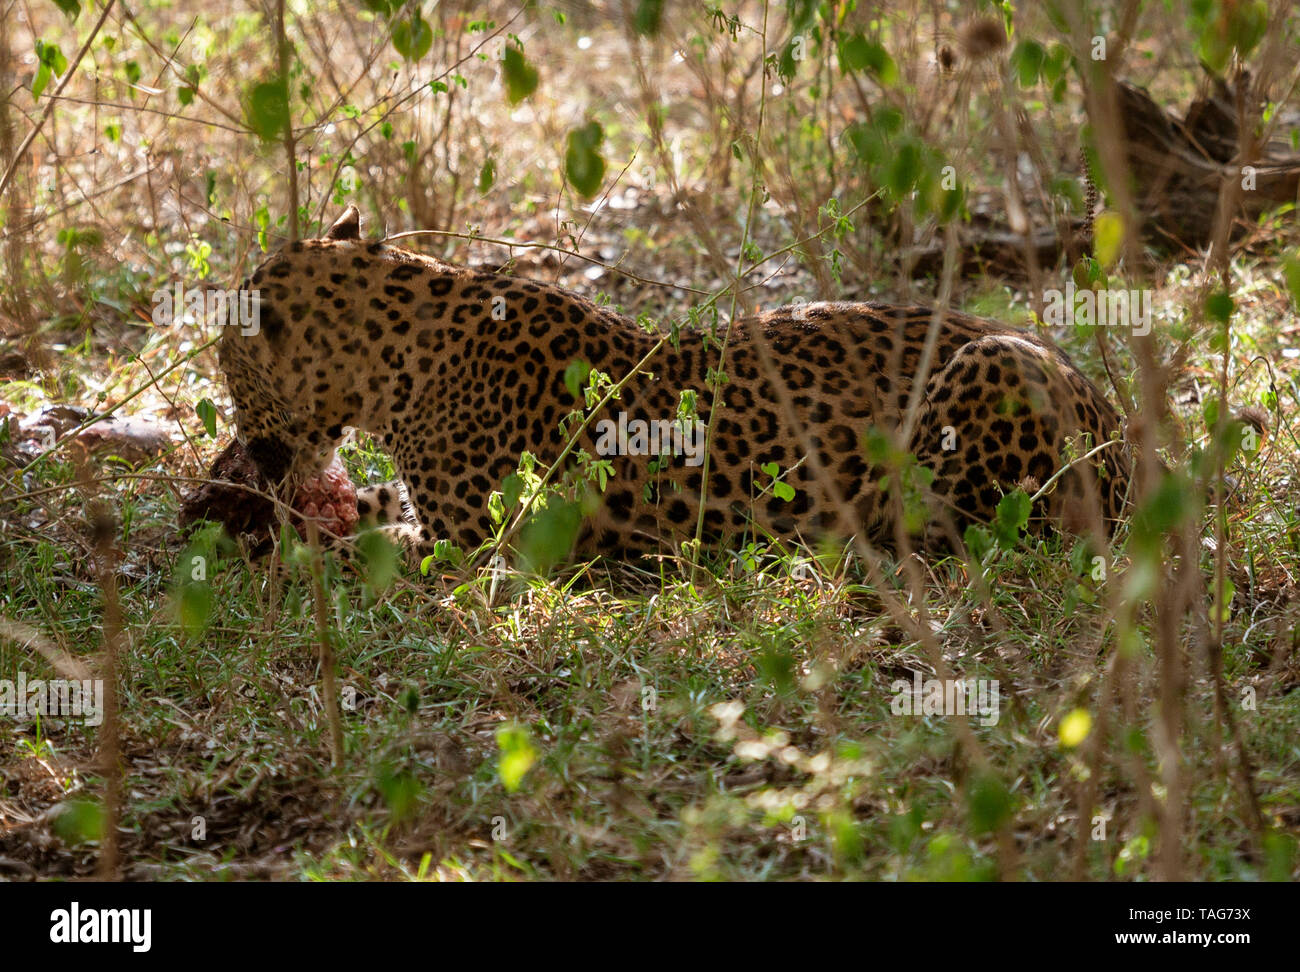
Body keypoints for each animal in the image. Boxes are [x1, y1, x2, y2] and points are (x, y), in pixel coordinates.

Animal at [213, 209, 1128, 566]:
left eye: (226, 368)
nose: (242, 445)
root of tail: (1121, 431)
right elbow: (367, 510)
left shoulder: (479, 541)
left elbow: (347, 549)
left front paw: (267, 551)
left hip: (996, 363)